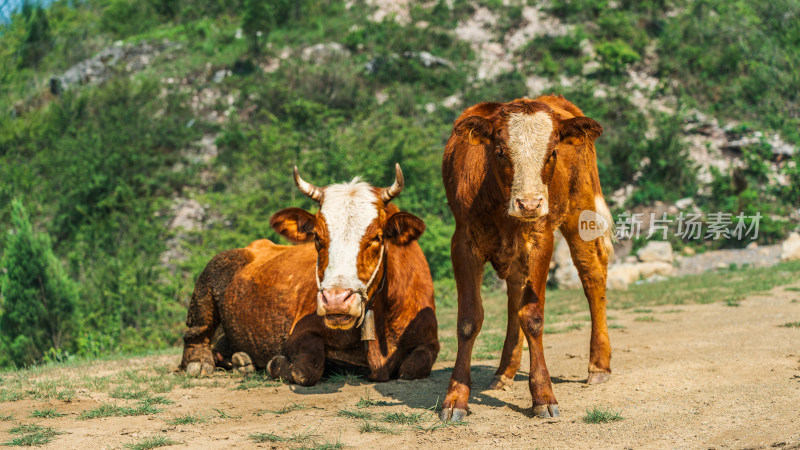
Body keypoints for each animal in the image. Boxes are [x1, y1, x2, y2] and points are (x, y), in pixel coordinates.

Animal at [180, 167, 438, 384]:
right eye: (316, 237)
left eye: (377, 237)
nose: (336, 300)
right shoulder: (300, 332)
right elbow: (307, 368)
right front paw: (275, 364)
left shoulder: (429, 341)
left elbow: (413, 367)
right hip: (210, 275)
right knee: (196, 331)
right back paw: (201, 362)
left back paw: (242, 361)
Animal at [440, 95, 616, 422]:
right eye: (499, 151)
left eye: (554, 152)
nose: (530, 204)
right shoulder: (463, 243)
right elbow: (469, 319)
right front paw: (456, 398)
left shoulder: (540, 238)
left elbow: (532, 316)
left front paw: (543, 396)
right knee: (514, 294)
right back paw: (504, 372)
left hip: (581, 210)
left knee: (592, 274)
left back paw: (599, 365)